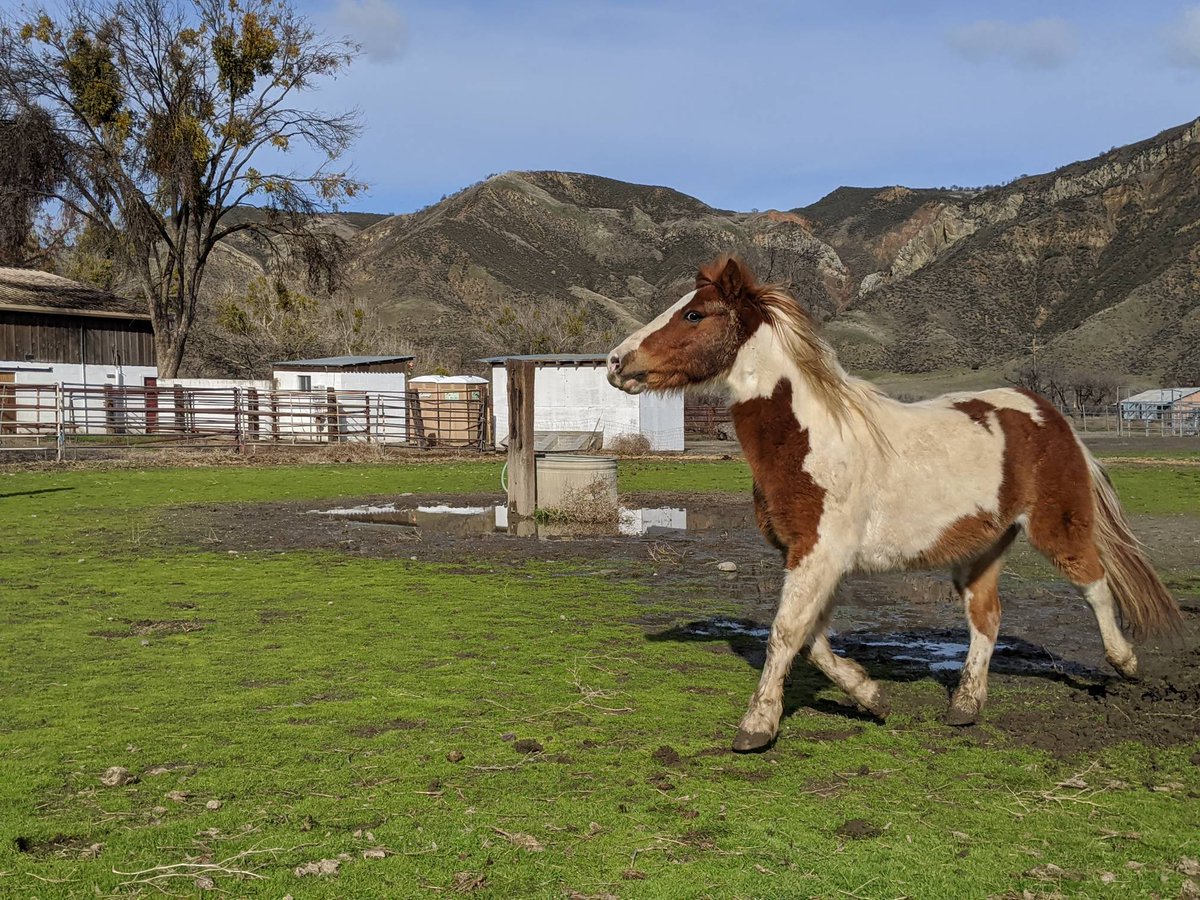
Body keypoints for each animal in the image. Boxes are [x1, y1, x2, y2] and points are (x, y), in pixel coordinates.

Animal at [607, 256, 1182, 753]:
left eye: (694, 313)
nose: (616, 363)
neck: (812, 439)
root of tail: (1047, 412)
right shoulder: (811, 557)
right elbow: (811, 637)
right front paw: (872, 696)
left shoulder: (819, 552)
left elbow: (786, 632)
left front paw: (757, 725)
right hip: (979, 549)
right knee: (986, 617)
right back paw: (965, 705)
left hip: (1056, 527)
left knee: (1095, 584)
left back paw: (1125, 662)